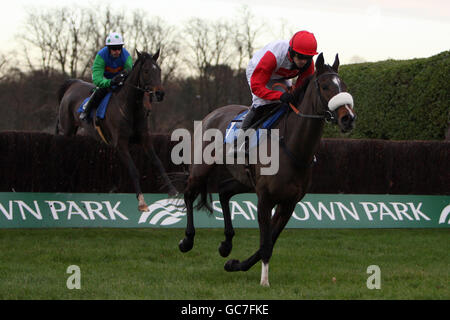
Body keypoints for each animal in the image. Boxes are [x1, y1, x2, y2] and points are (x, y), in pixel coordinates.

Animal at [57, 49, 179, 210]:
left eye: (159, 70)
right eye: (146, 71)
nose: (160, 94)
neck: (131, 108)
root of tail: (73, 84)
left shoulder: (145, 139)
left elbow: (158, 163)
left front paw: (173, 190)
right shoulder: (120, 144)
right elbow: (133, 170)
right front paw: (141, 201)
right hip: (67, 131)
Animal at [178, 53, 356, 288]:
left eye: (343, 86)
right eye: (326, 86)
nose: (348, 118)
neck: (292, 147)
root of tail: (212, 114)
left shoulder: (288, 204)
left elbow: (270, 240)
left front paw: (236, 264)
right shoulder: (265, 199)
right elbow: (265, 242)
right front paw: (264, 281)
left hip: (244, 180)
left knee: (224, 191)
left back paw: (226, 244)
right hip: (201, 167)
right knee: (189, 193)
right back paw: (187, 240)